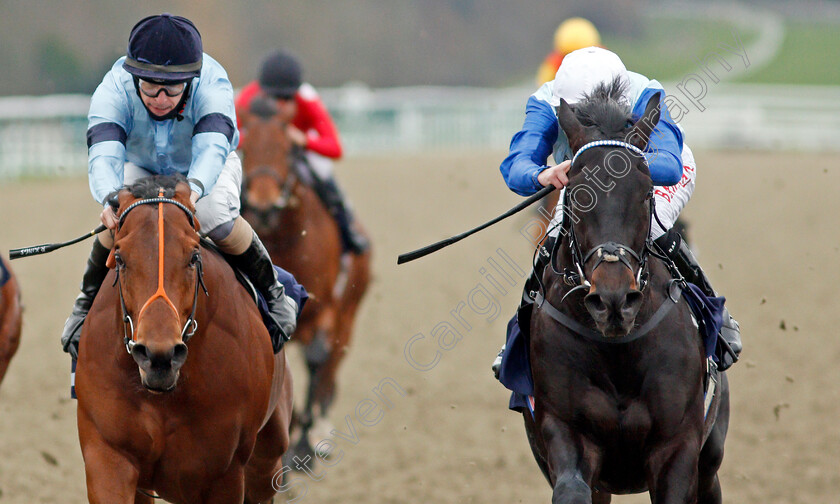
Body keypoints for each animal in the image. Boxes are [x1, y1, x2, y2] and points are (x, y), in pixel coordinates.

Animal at [74, 175, 296, 502]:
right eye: (119, 257)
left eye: (194, 256)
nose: (159, 357)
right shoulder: (108, 455)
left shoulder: (226, 473)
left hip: (268, 458)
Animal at [235, 96, 370, 454]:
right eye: (246, 149)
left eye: (287, 150)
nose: (264, 207)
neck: (284, 236)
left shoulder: (325, 308)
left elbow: (317, 358)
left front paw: (305, 443)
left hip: (349, 311)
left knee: (332, 362)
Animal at [524, 83, 728, 504]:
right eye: (576, 193)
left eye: (646, 191)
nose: (614, 300)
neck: (616, 349)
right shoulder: (564, 431)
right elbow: (571, 488)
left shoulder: (678, 446)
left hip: (710, 457)